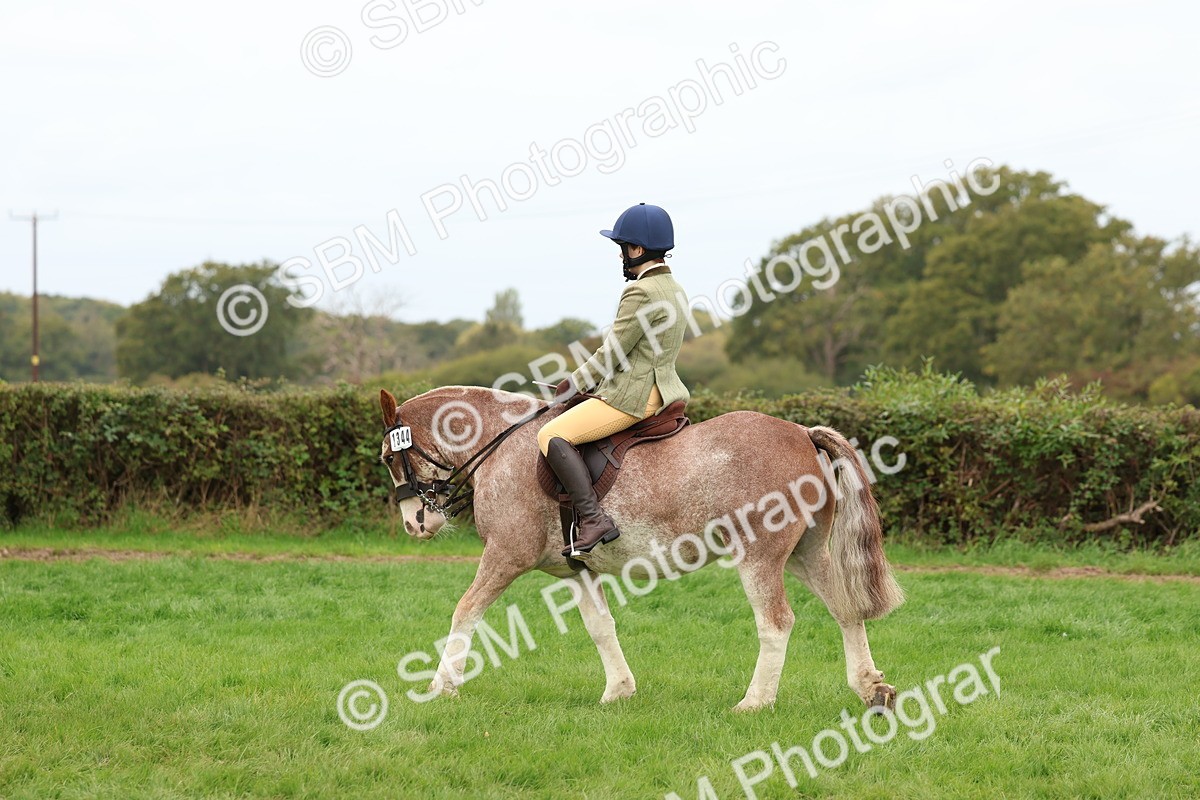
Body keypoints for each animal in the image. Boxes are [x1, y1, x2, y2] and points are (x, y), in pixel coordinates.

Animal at [377, 385, 904, 711]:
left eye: (388, 456)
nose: (414, 523)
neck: (501, 444)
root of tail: (801, 432)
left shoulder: (506, 556)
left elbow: (465, 611)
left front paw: (441, 686)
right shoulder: (577, 570)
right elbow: (600, 627)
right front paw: (619, 691)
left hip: (760, 557)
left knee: (776, 623)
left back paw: (754, 702)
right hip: (806, 554)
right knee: (846, 609)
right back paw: (871, 689)